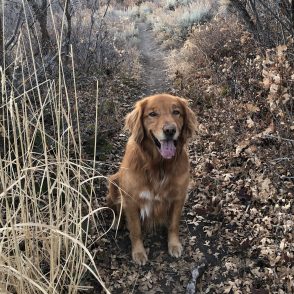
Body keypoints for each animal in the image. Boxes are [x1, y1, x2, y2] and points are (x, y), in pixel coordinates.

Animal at [107, 93, 196, 264]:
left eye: (176, 112)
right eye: (153, 114)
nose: (170, 130)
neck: (159, 164)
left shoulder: (179, 197)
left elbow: (174, 224)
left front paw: (174, 244)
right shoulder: (130, 200)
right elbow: (135, 229)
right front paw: (139, 252)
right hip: (113, 182)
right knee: (115, 208)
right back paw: (116, 222)